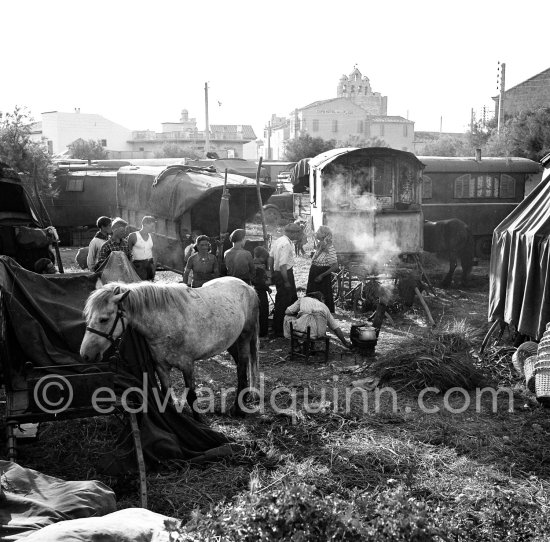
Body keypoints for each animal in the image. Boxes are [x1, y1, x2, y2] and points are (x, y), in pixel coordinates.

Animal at [80, 278, 260, 418]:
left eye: (103, 319)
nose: (85, 354)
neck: (166, 324)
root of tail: (248, 286)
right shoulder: (161, 367)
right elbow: (166, 396)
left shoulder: (187, 366)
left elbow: (191, 396)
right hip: (231, 341)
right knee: (240, 364)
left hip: (245, 337)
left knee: (243, 366)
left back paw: (239, 408)